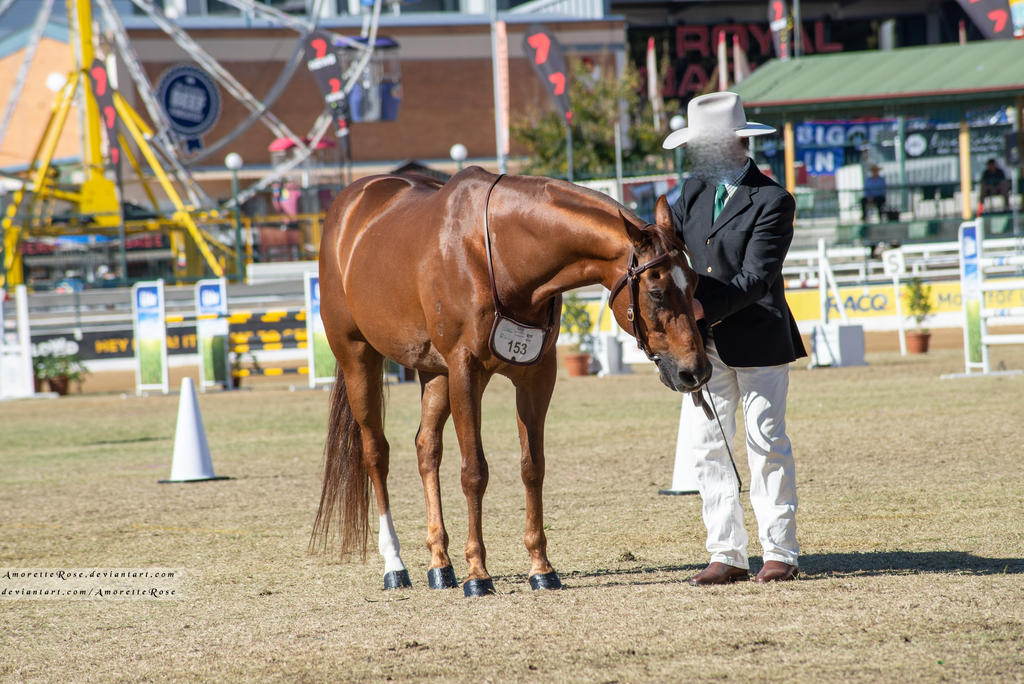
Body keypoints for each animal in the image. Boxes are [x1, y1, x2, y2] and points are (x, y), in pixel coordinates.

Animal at [310, 166, 711, 596]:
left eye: (694, 283)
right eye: (656, 291)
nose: (696, 370)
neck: (503, 254)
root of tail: (349, 205)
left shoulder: (536, 375)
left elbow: (532, 466)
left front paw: (541, 568)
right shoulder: (466, 372)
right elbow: (474, 472)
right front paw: (477, 573)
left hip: (434, 372)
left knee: (426, 449)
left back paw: (440, 564)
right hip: (359, 358)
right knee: (376, 454)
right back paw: (395, 566)